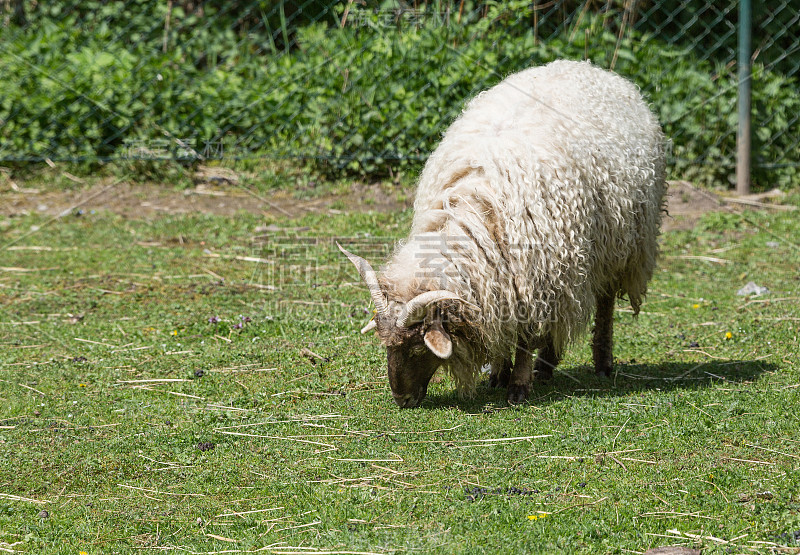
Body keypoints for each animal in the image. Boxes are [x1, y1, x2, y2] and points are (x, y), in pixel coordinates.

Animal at [340, 59, 668, 408]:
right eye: (386, 343)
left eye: (417, 347)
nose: (402, 399)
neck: (478, 217)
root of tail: (591, 68)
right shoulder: (500, 280)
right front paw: (498, 373)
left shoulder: (532, 276)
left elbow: (526, 336)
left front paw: (518, 386)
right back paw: (546, 366)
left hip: (622, 244)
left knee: (605, 303)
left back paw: (601, 363)